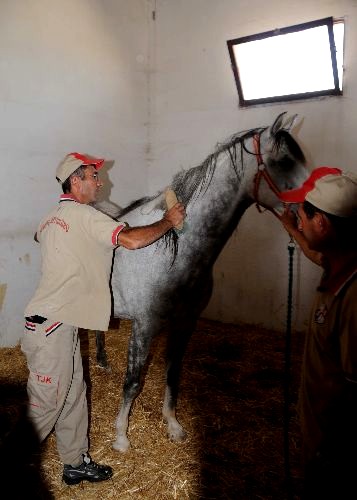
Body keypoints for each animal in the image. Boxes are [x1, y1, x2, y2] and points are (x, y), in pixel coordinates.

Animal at [94, 111, 306, 452]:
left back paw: (101, 361)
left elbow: (172, 373)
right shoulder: (145, 325)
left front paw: (173, 425)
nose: (312, 210)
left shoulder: (185, 322)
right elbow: (133, 380)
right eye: (285, 161)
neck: (175, 249)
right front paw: (121, 436)